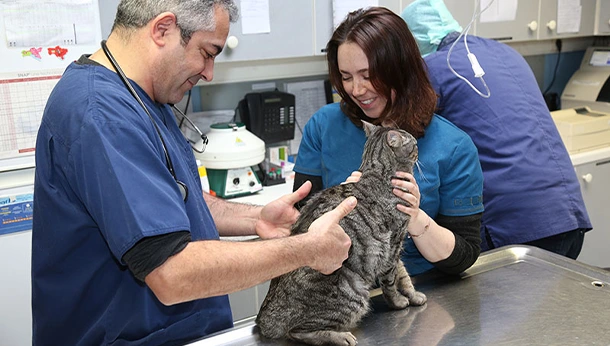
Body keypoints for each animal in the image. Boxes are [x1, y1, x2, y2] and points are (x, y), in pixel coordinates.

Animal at [254, 121, 426, 346]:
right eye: (414, 143)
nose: (419, 147)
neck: (377, 174)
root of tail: (264, 317)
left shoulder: (395, 250)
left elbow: (403, 274)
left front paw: (413, 295)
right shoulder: (393, 244)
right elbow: (390, 281)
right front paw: (398, 301)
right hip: (352, 294)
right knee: (296, 332)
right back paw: (340, 336)